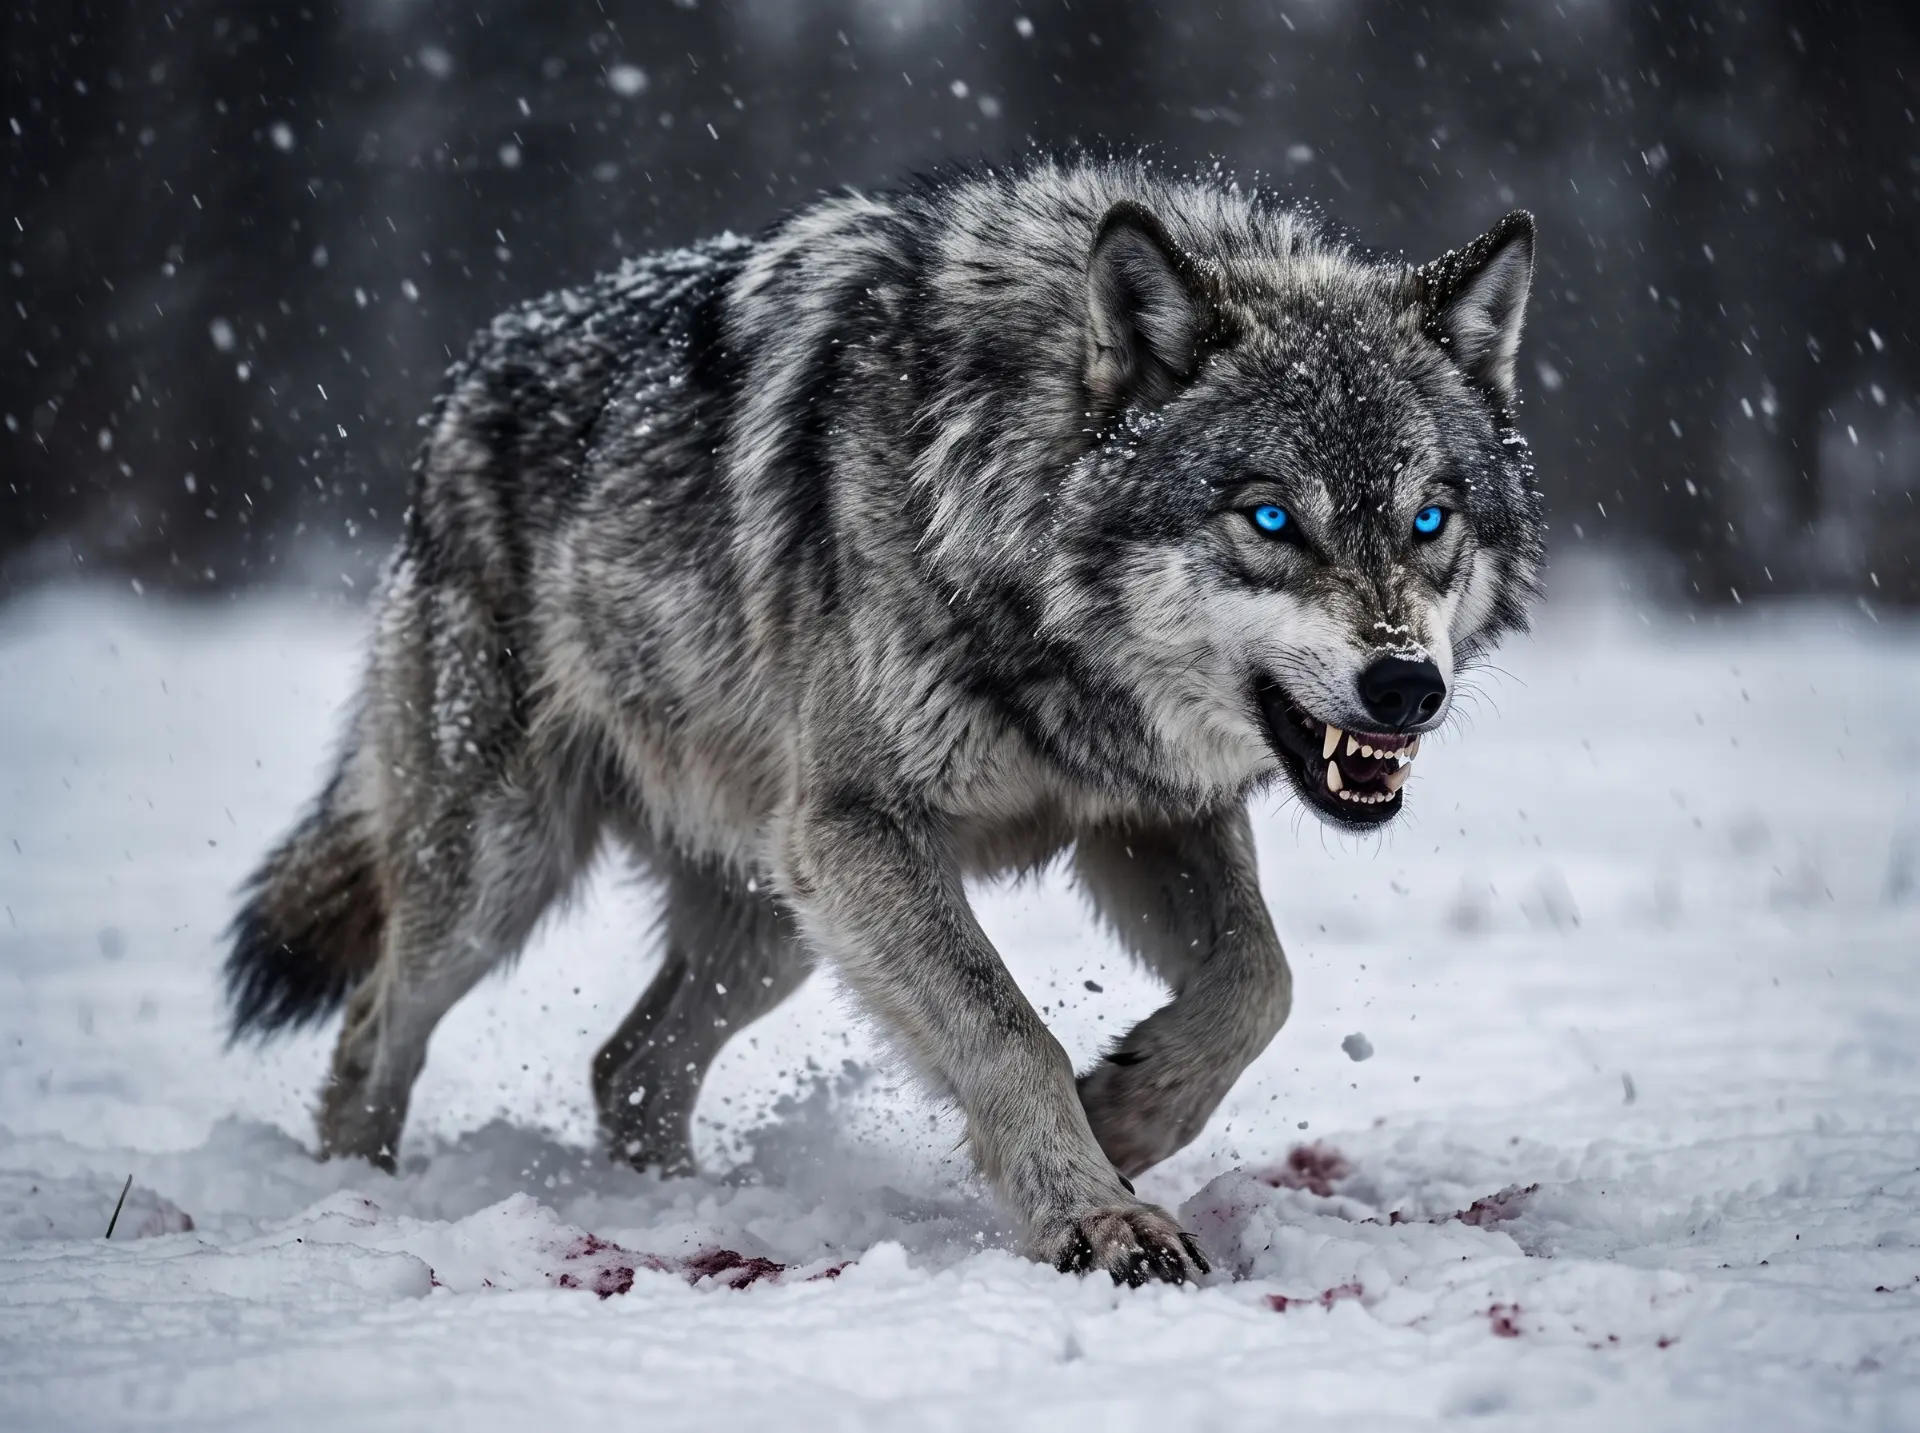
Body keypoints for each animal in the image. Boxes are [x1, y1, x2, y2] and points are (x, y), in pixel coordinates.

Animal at [226, 156, 1542, 1286]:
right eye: (1271, 519)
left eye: (1429, 522)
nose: (1405, 686)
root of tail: (468, 375)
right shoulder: (867, 828)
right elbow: (1010, 1032)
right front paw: (1096, 1213)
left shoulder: (1145, 814)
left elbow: (1259, 984)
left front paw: (1125, 1110)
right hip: (514, 874)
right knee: (373, 1031)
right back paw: (363, 1203)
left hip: (773, 916)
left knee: (629, 1065)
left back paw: (680, 1208)